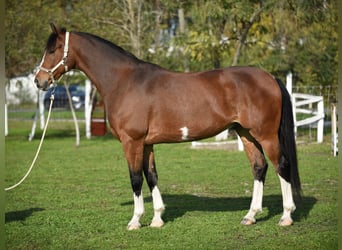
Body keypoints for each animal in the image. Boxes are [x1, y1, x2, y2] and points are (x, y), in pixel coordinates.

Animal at [35, 23, 302, 230]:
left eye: (52, 50)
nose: (39, 81)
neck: (125, 82)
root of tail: (269, 77)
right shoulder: (146, 144)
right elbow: (151, 176)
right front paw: (157, 219)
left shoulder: (132, 142)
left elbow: (135, 178)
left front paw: (135, 221)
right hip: (246, 134)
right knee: (259, 167)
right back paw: (250, 216)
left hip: (266, 135)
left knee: (282, 166)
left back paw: (286, 216)